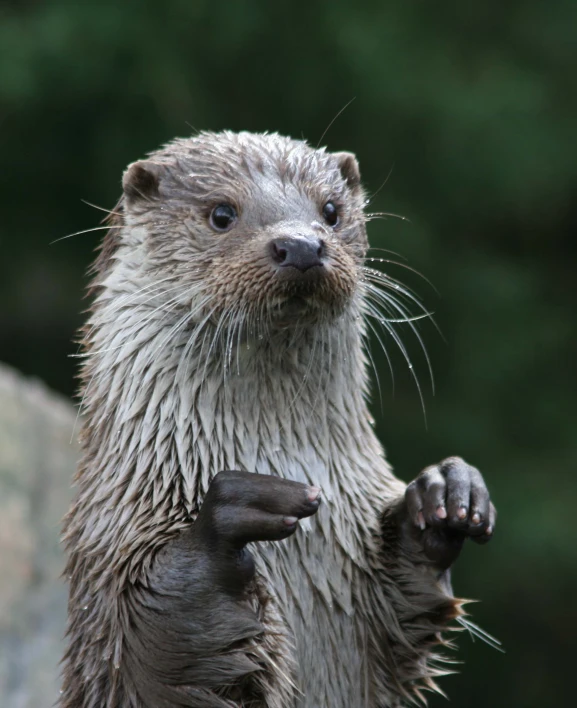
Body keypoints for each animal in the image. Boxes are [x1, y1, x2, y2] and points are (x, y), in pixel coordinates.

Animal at [60, 130, 498, 704]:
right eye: (222, 213)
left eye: (330, 211)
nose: (302, 245)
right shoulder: (111, 554)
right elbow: (145, 651)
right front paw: (232, 513)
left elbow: (405, 611)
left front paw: (445, 493)